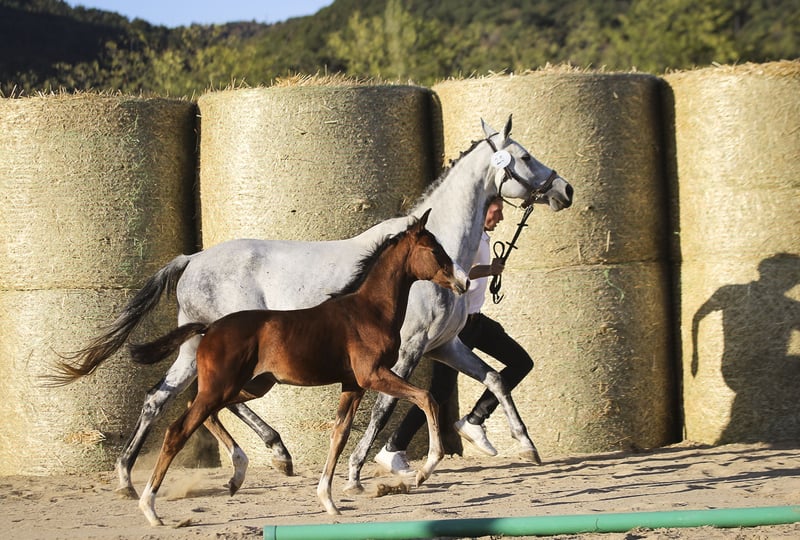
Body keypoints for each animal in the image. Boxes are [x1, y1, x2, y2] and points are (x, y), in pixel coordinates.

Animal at [127, 210, 468, 525]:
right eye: (434, 250)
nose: (463, 282)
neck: (368, 311)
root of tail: (208, 328)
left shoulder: (353, 385)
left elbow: (339, 434)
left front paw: (328, 500)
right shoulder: (373, 375)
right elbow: (426, 398)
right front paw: (425, 470)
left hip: (250, 386)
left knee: (203, 413)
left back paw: (238, 474)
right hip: (222, 387)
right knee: (178, 429)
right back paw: (150, 508)